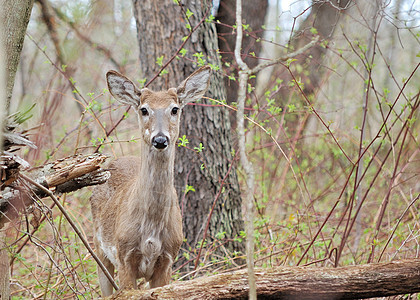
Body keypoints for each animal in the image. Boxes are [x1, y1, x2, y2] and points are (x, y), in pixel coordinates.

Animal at [90, 66, 212, 296]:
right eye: (144, 109)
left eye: (174, 109)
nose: (160, 139)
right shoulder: (124, 257)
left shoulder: (168, 259)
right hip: (99, 247)